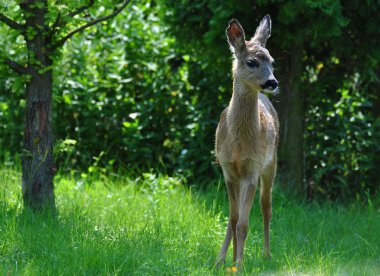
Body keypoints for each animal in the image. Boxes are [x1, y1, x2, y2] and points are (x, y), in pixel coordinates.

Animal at [215, 15, 280, 268]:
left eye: (272, 61)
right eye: (251, 62)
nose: (272, 82)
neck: (238, 144)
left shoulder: (252, 168)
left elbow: (243, 223)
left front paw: (240, 265)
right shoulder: (227, 169)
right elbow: (233, 219)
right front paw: (221, 260)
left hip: (271, 164)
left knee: (266, 208)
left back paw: (267, 254)